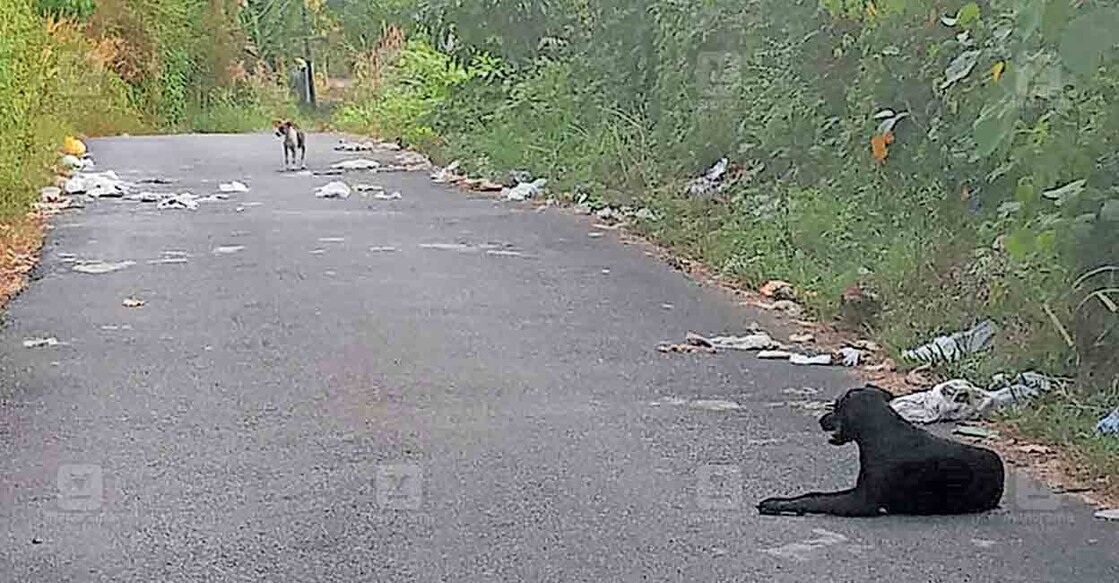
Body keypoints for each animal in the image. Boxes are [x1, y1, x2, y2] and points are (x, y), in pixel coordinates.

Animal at [760, 387, 1007, 514]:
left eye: (837, 407)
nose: (821, 420)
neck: (879, 430)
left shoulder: (860, 502)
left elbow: (814, 498)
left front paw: (777, 503)